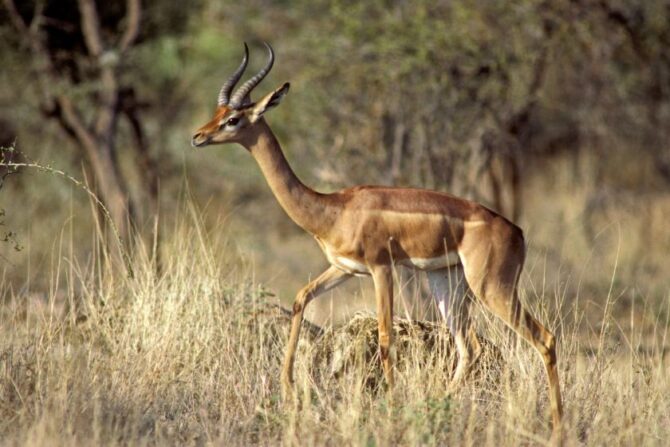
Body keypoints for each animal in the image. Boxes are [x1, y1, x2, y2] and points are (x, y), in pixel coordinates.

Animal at [191, 43, 563, 433]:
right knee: (469, 348)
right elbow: (300, 298)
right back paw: (437, 408)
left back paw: (557, 426)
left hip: (492, 288)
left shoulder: (381, 268)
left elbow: (385, 338)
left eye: (234, 119)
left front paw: (391, 408)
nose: (197, 136)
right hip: (446, 283)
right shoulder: (344, 269)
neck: (333, 209)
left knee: (544, 338)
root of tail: (516, 232)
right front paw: (288, 388)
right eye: (218, 112)